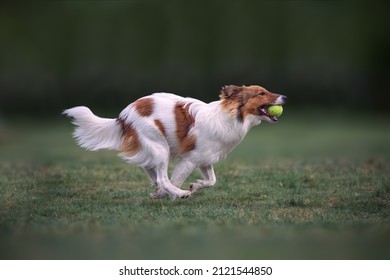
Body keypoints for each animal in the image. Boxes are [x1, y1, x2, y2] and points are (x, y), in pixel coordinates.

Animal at [63, 85, 286, 199]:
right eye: (262, 93)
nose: (285, 96)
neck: (229, 117)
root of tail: (123, 115)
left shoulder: (205, 159)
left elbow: (212, 180)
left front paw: (196, 186)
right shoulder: (190, 159)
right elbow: (176, 179)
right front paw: (171, 193)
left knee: (150, 169)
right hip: (160, 146)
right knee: (162, 177)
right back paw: (176, 193)